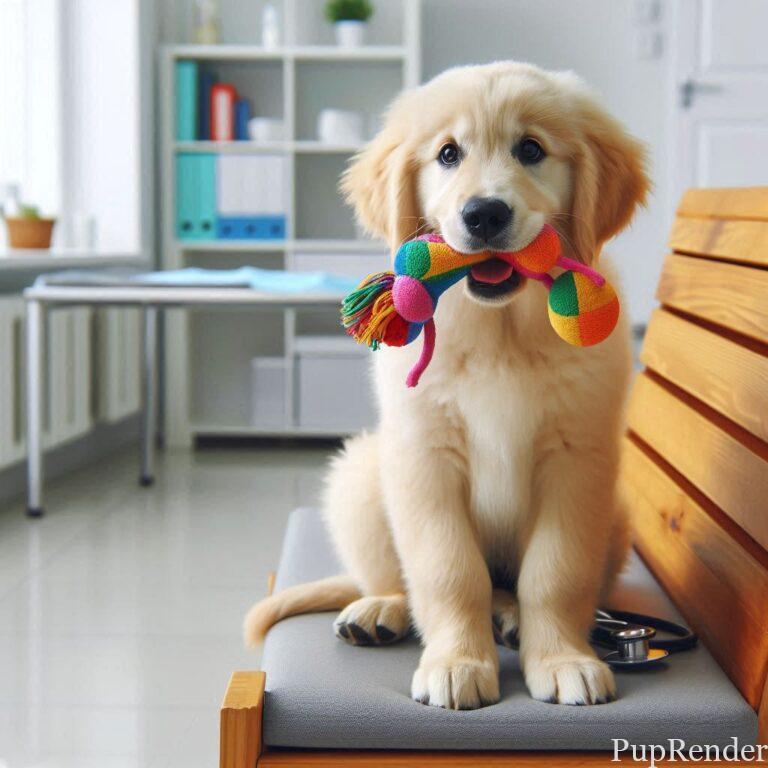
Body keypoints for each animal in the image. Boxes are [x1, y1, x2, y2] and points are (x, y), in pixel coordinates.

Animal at [244, 60, 648, 708]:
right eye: (448, 154)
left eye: (531, 149)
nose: (484, 213)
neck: (500, 332)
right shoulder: (423, 456)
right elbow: (448, 570)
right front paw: (456, 663)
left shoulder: (576, 462)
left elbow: (555, 572)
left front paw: (563, 658)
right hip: (362, 474)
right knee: (396, 576)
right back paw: (382, 609)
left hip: (616, 517)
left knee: (514, 585)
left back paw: (510, 617)